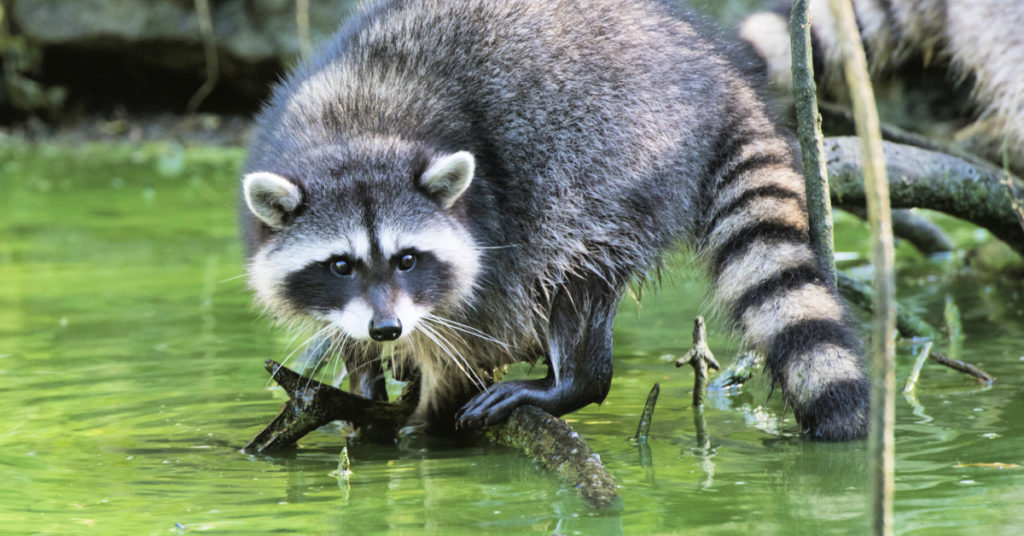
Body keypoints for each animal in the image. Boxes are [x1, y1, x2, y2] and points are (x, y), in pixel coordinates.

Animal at [241, 0, 869, 440]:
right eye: (340, 265)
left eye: (408, 259)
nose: (387, 329)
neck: (357, 133)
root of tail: (719, 76)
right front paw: (364, 371)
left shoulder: (491, 219)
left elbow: (478, 323)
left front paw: (426, 408)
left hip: (616, 159)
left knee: (579, 268)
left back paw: (575, 380)